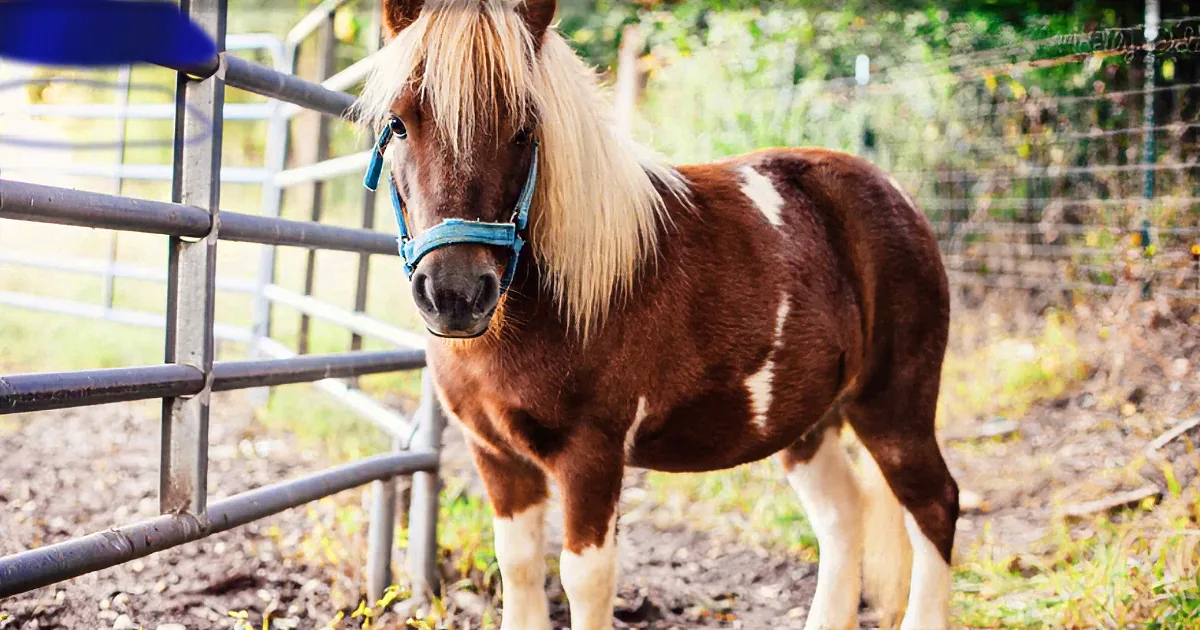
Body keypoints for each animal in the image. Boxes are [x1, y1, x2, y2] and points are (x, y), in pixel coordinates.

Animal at [356, 1, 959, 628]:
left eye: (524, 130)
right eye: (398, 123)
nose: (455, 294)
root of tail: (899, 197)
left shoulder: (591, 456)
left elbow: (585, 578)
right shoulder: (495, 455)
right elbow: (518, 566)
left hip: (894, 406)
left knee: (935, 506)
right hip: (810, 423)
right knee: (843, 515)